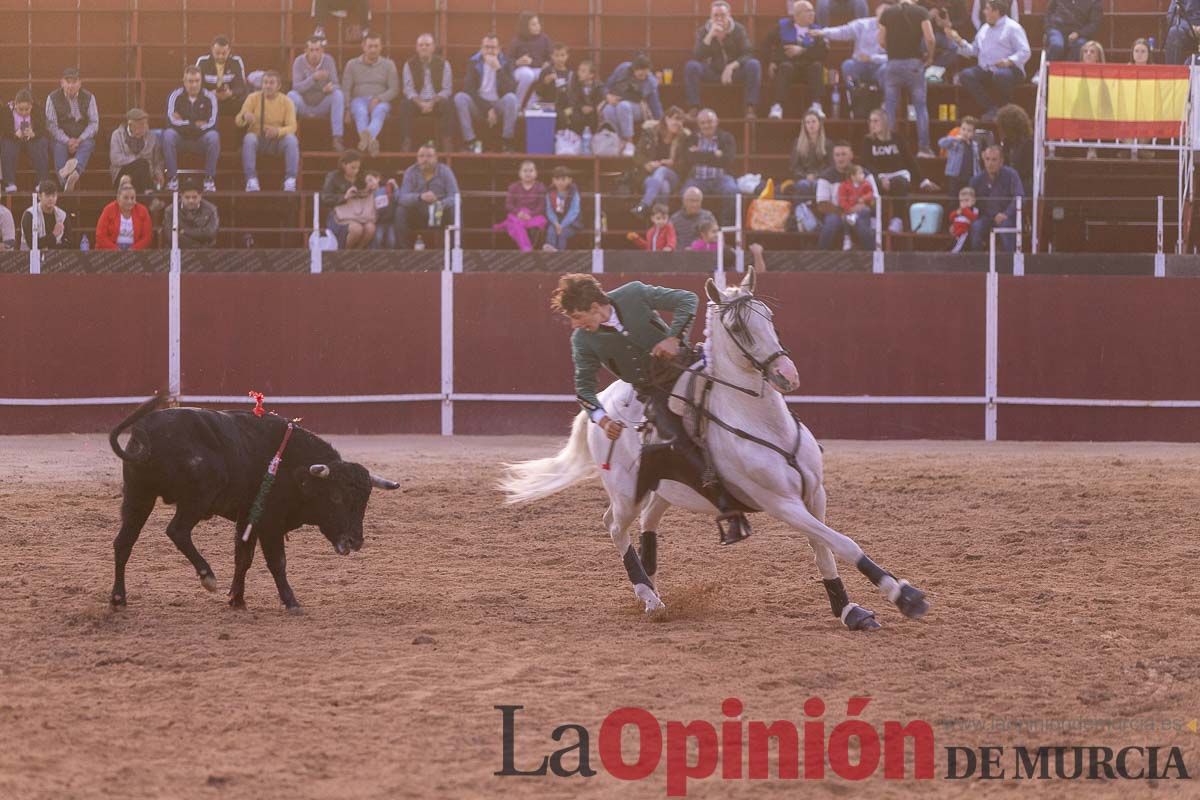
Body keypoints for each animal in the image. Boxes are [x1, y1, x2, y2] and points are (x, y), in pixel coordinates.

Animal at [109, 395, 398, 614]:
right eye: (336, 497)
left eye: (365, 502)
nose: (354, 541)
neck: (295, 468)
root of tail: (148, 430)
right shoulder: (270, 522)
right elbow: (277, 562)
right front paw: (291, 602)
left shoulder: (247, 518)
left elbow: (243, 558)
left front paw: (237, 599)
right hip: (196, 498)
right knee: (177, 531)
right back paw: (207, 576)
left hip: (138, 496)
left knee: (124, 542)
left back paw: (118, 598)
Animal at [496, 268, 926, 633]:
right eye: (737, 327)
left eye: (768, 316)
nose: (786, 375)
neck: (763, 421)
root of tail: (599, 407)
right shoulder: (780, 503)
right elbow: (842, 542)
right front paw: (904, 595)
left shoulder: (814, 494)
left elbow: (824, 547)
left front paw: (849, 610)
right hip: (625, 492)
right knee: (614, 526)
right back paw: (649, 597)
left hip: (665, 488)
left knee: (647, 520)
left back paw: (650, 578)